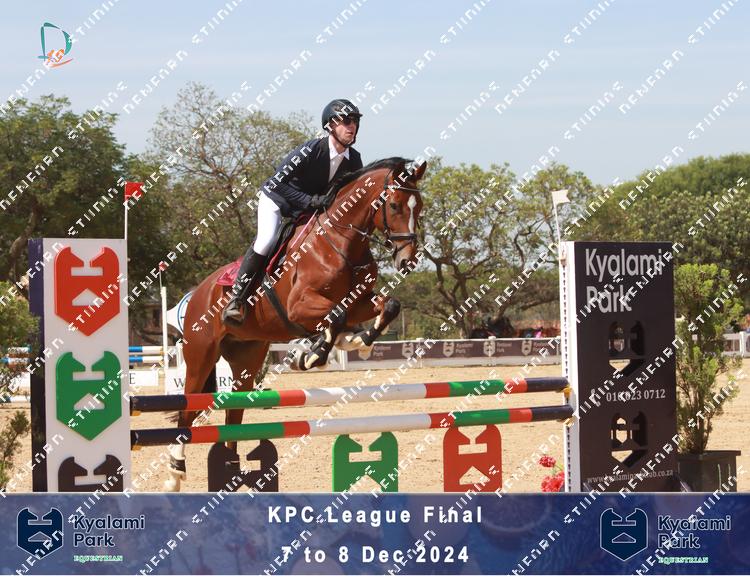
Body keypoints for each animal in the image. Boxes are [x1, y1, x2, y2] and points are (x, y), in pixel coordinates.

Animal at [165, 157, 427, 490]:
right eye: (394, 205)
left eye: (419, 207)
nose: (408, 260)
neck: (340, 241)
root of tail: (198, 292)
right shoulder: (299, 307)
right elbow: (337, 317)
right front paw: (313, 356)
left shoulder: (358, 300)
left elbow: (387, 306)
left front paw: (358, 343)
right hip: (201, 355)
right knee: (187, 410)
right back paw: (175, 472)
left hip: (246, 358)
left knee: (234, 414)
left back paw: (229, 472)